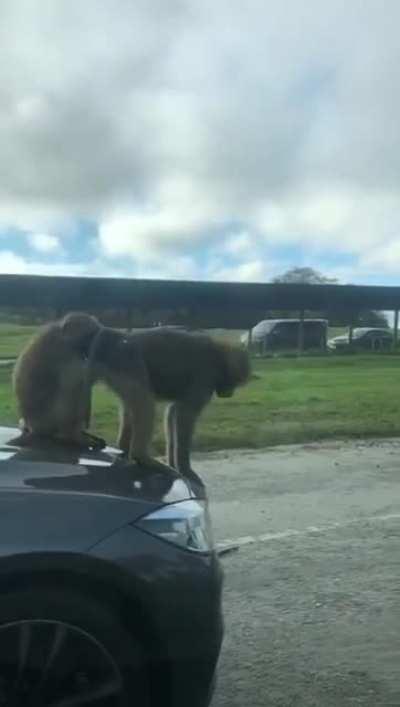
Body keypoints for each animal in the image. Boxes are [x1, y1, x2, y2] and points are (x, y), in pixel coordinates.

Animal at [11, 312, 105, 450]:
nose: (93, 348)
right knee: (72, 388)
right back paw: (73, 436)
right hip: (47, 421)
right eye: (90, 336)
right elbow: (73, 379)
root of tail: (31, 426)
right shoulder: (62, 351)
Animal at [86, 326, 250, 475]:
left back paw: (124, 452)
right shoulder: (204, 377)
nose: (229, 393)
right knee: (144, 402)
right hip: (125, 362)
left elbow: (173, 412)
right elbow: (185, 414)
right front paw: (185, 469)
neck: (219, 356)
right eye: (236, 381)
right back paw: (141, 457)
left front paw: (173, 463)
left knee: (132, 406)